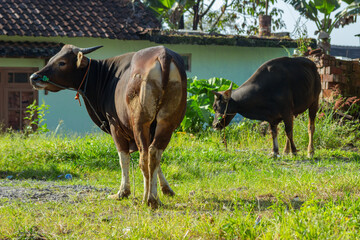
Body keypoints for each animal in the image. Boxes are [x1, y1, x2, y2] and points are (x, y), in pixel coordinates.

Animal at [29, 45, 187, 208]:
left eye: (62, 62)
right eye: (52, 59)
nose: (34, 78)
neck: (105, 76)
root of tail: (163, 55)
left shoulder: (115, 126)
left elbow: (123, 158)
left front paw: (122, 192)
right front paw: (167, 189)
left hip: (140, 122)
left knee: (144, 157)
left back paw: (148, 199)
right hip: (166, 122)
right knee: (154, 153)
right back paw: (154, 198)